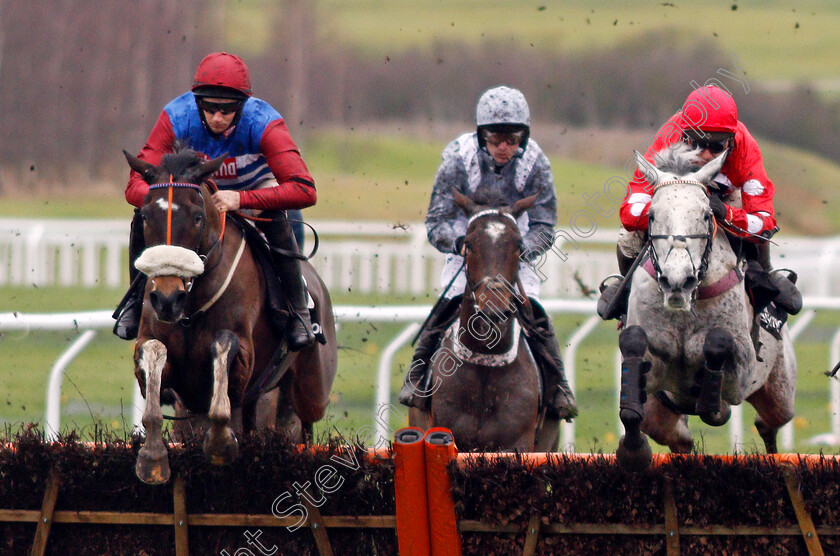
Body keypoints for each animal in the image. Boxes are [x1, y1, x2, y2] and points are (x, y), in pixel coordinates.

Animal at [122, 147, 338, 482]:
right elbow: (154, 357)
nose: (168, 299)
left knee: (304, 424)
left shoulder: (242, 355)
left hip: (311, 392)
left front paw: (220, 445)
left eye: (197, 217)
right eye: (145, 217)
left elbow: (222, 349)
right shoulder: (156, 351)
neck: (190, 306)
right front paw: (152, 457)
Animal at [616, 146, 796, 472]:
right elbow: (633, 362)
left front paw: (712, 404)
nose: (677, 281)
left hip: (780, 392)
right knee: (679, 440)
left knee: (769, 423)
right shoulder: (653, 371)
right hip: (661, 417)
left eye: (705, 214)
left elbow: (718, 344)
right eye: (651, 215)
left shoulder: (742, 373)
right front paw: (633, 452)